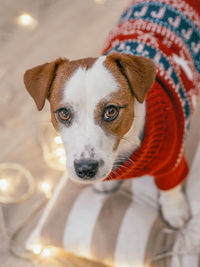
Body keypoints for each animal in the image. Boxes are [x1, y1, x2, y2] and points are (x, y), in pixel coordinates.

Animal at [23, 0, 200, 230]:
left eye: (111, 111)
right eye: (64, 113)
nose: (85, 169)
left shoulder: (172, 160)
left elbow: (170, 187)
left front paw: (174, 209)